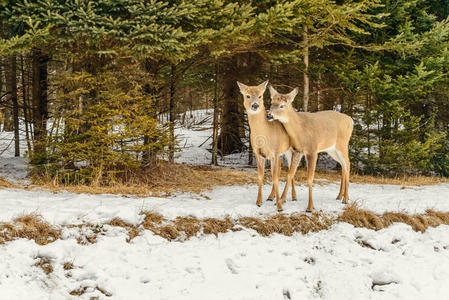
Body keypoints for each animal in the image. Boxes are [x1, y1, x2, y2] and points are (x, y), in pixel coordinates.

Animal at [234, 80, 300, 211]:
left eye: (260, 96)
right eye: (247, 95)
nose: (255, 105)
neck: (264, 134)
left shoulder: (275, 152)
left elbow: (274, 177)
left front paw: (279, 207)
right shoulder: (258, 153)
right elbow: (261, 175)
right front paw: (259, 201)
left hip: (291, 150)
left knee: (291, 170)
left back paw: (291, 197)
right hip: (284, 151)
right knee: (283, 167)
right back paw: (272, 197)